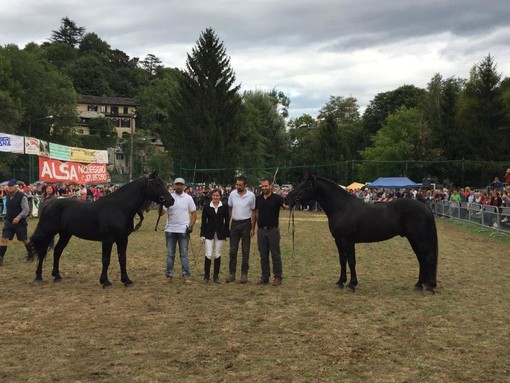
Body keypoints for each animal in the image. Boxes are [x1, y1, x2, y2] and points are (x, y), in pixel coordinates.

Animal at [29, 172, 173, 286]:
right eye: (157, 184)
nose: (171, 200)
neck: (119, 207)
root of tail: (50, 203)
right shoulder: (107, 240)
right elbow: (106, 259)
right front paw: (105, 281)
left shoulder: (123, 239)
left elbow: (122, 259)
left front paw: (126, 280)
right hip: (48, 232)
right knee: (42, 251)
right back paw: (38, 276)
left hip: (65, 234)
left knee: (57, 251)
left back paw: (57, 276)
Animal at [284, 176, 436, 292]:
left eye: (303, 186)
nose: (287, 199)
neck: (342, 208)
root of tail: (425, 206)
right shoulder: (338, 240)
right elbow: (342, 260)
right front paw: (340, 281)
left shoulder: (348, 240)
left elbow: (351, 261)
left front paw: (352, 284)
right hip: (412, 239)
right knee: (421, 259)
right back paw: (419, 285)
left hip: (419, 239)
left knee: (427, 257)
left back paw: (429, 287)